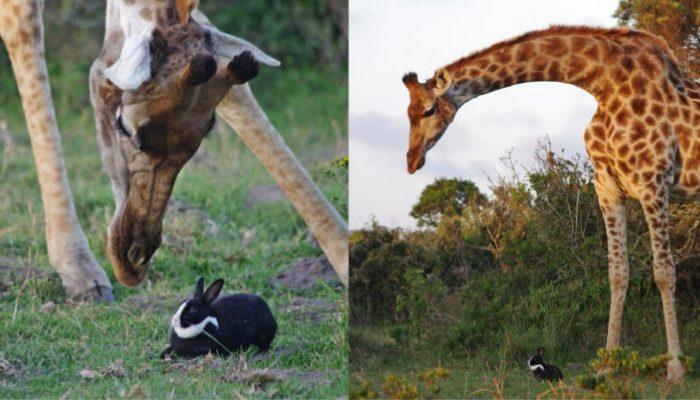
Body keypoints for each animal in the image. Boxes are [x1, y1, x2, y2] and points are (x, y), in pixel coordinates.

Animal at [0, 0, 350, 300]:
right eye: (123, 126)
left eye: (207, 130)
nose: (133, 260)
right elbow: (22, 27)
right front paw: (81, 273)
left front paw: (345, 259)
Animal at [402, 26, 696, 382]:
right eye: (408, 113)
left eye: (429, 109)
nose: (412, 160)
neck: (604, 85)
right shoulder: (608, 189)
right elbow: (618, 273)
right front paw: (607, 365)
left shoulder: (653, 183)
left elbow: (664, 272)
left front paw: (675, 370)